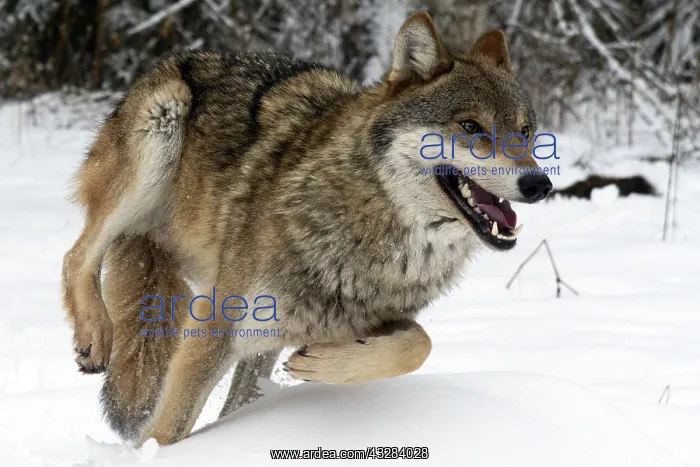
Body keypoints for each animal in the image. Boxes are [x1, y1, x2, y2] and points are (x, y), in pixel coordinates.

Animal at [61, 12, 552, 446]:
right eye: (470, 126)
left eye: (526, 132)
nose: (540, 184)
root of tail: (189, 55)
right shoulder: (218, 323)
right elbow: (168, 431)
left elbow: (420, 343)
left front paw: (324, 364)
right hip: (157, 137)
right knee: (77, 254)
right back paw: (95, 336)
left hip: (257, 342)